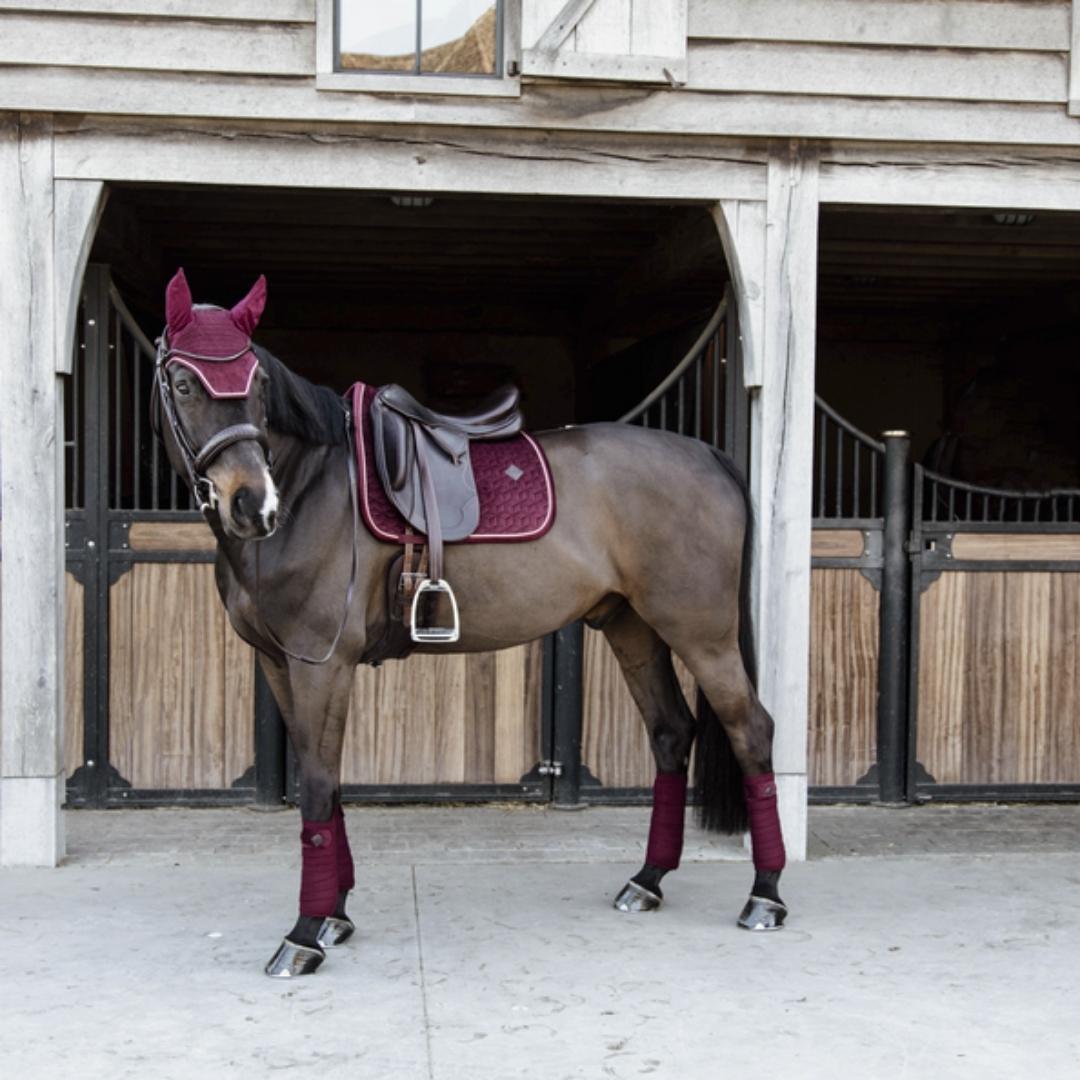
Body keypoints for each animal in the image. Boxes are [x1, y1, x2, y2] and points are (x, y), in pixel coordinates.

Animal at [151, 268, 789, 978]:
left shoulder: (322, 664)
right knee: (672, 733)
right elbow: (329, 784)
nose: (253, 504)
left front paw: (304, 934)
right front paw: (335, 916)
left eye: (257, 382)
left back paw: (765, 896)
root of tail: (708, 455)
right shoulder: (279, 664)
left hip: (702, 634)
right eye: (184, 382)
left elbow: (317, 785)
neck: (313, 489)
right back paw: (647, 881)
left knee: (750, 731)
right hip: (634, 630)